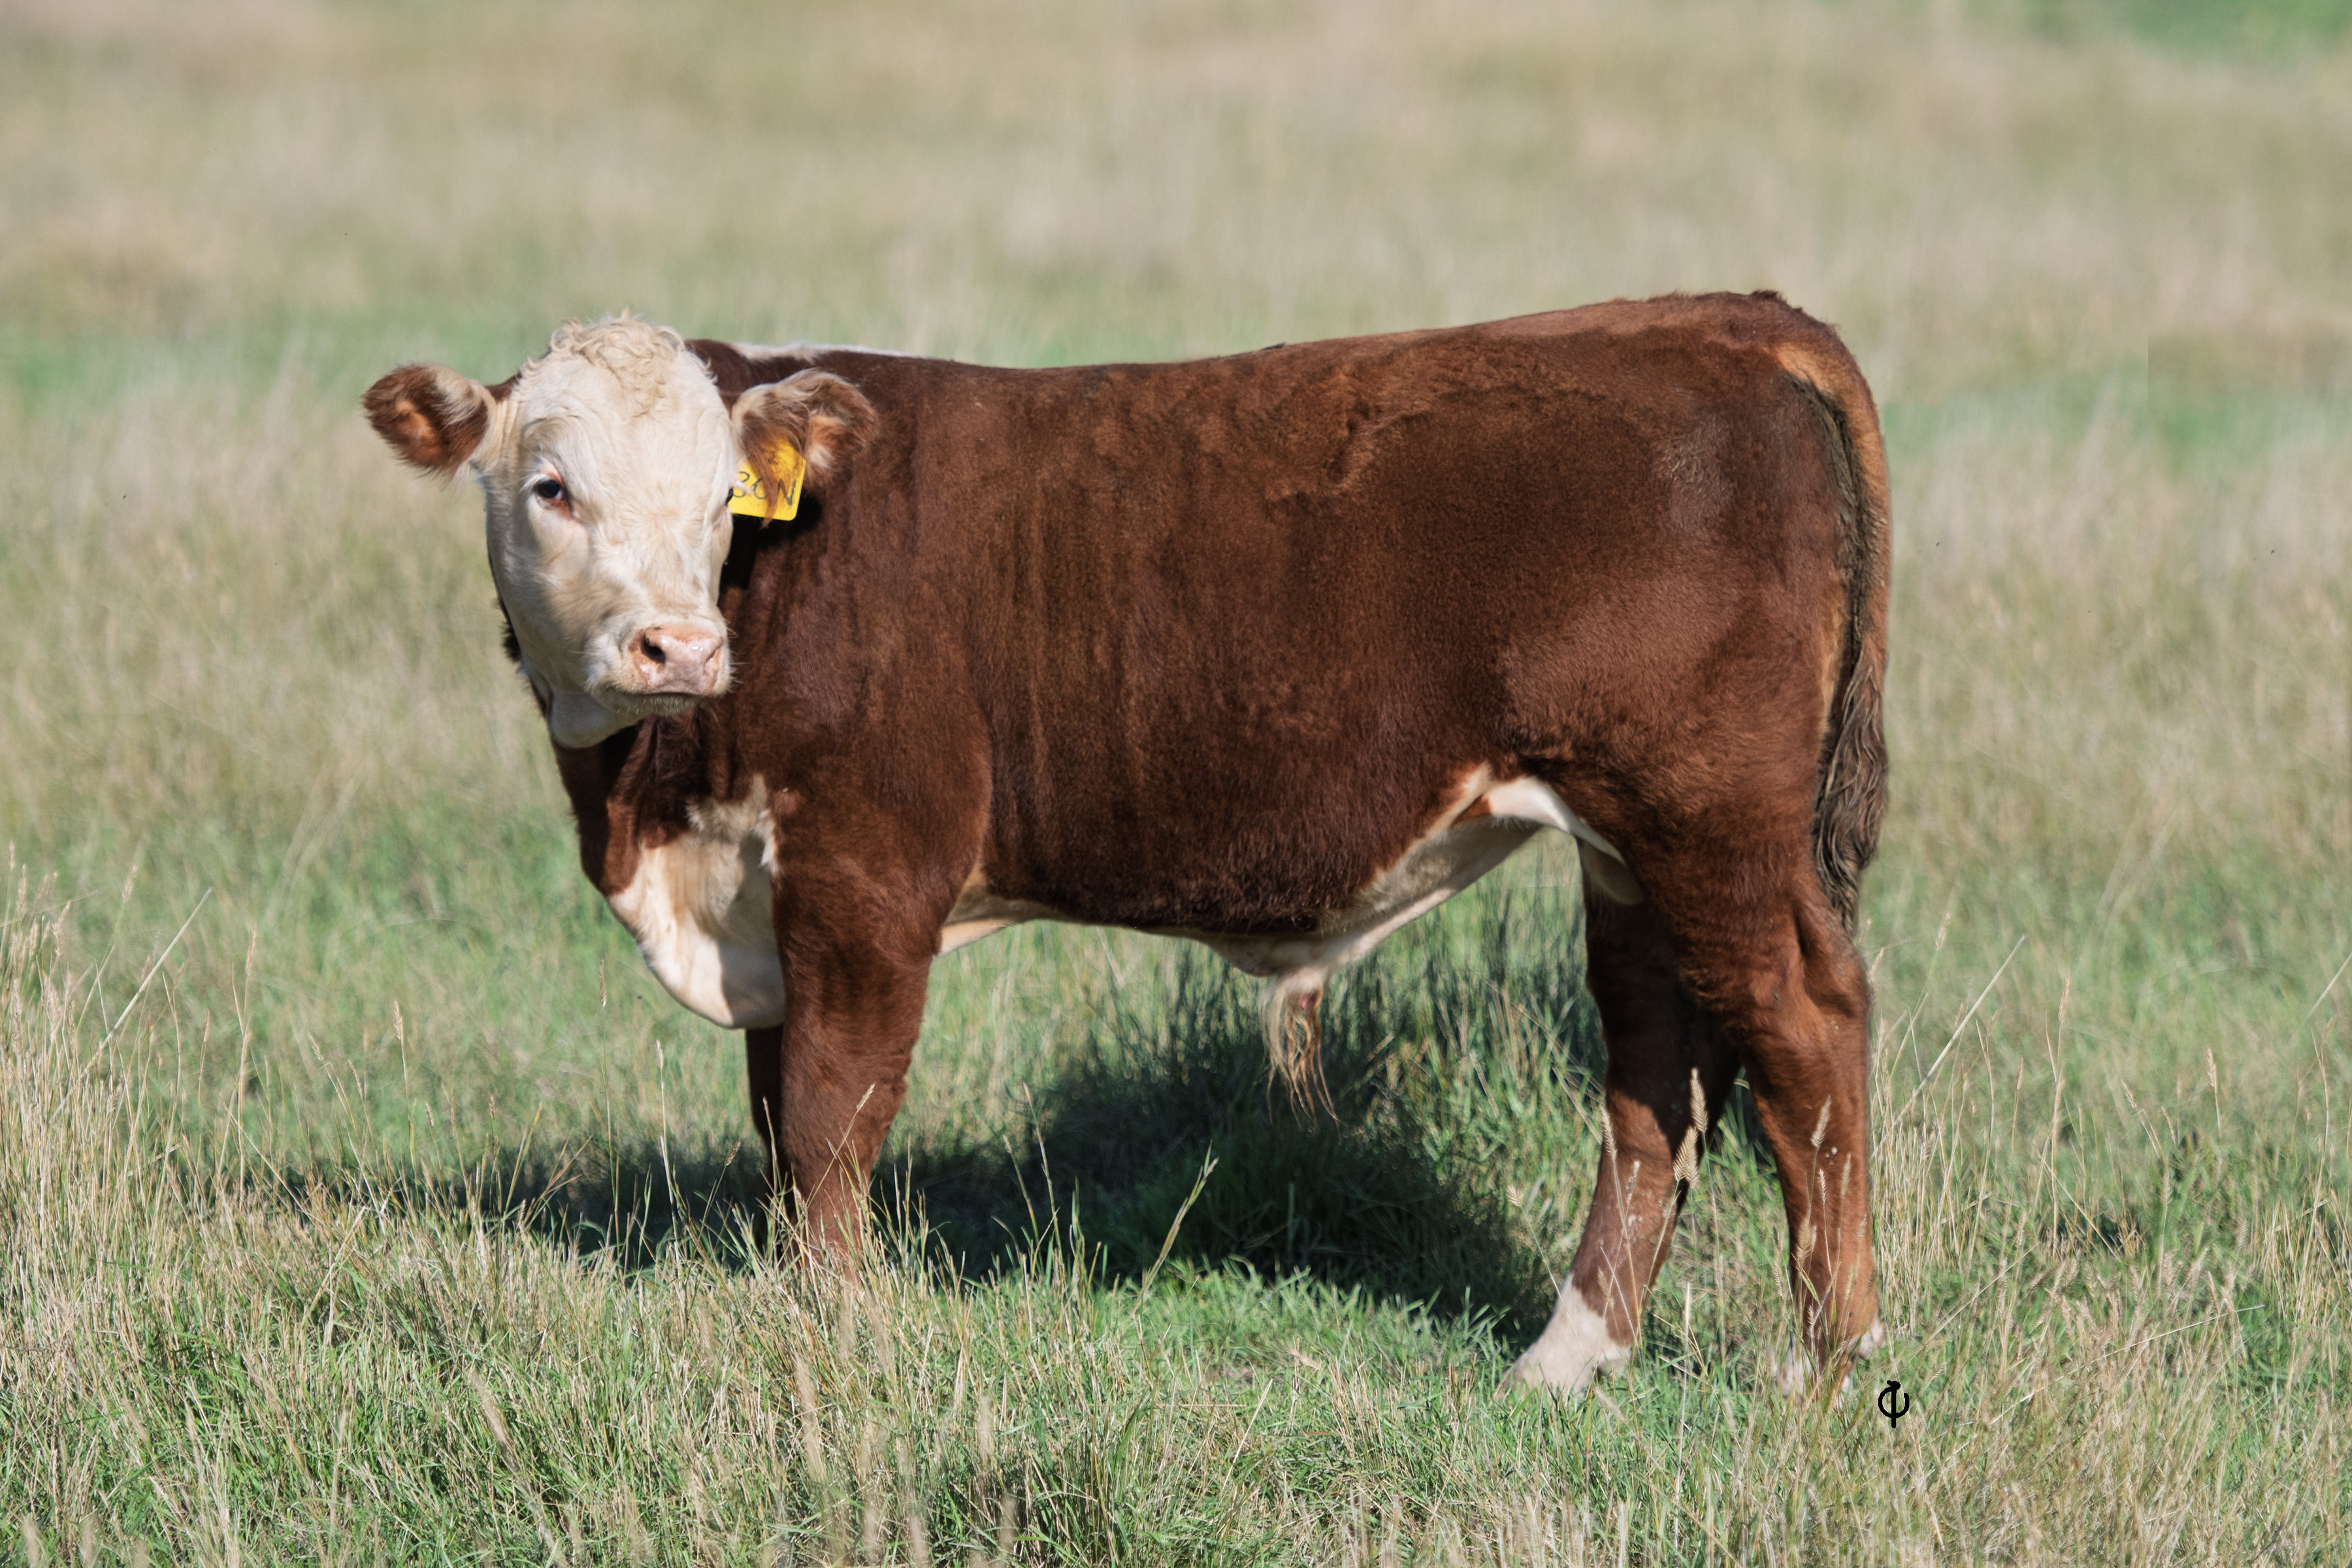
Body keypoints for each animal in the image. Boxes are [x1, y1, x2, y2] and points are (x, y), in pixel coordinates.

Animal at [362, 291, 1890, 1393]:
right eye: (551, 487)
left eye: (715, 503)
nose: (678, 645)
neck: (656, 808)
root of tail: (1709, 317)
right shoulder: (766, 902)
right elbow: (776, 1123)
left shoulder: (867, 878)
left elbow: (831, 1117)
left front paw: (840, 1330)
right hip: (1631, 847)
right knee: (1655, 1070)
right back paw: (1568, 1360)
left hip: (1711, 825)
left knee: (1805, 1037)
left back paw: (1829, 1366)